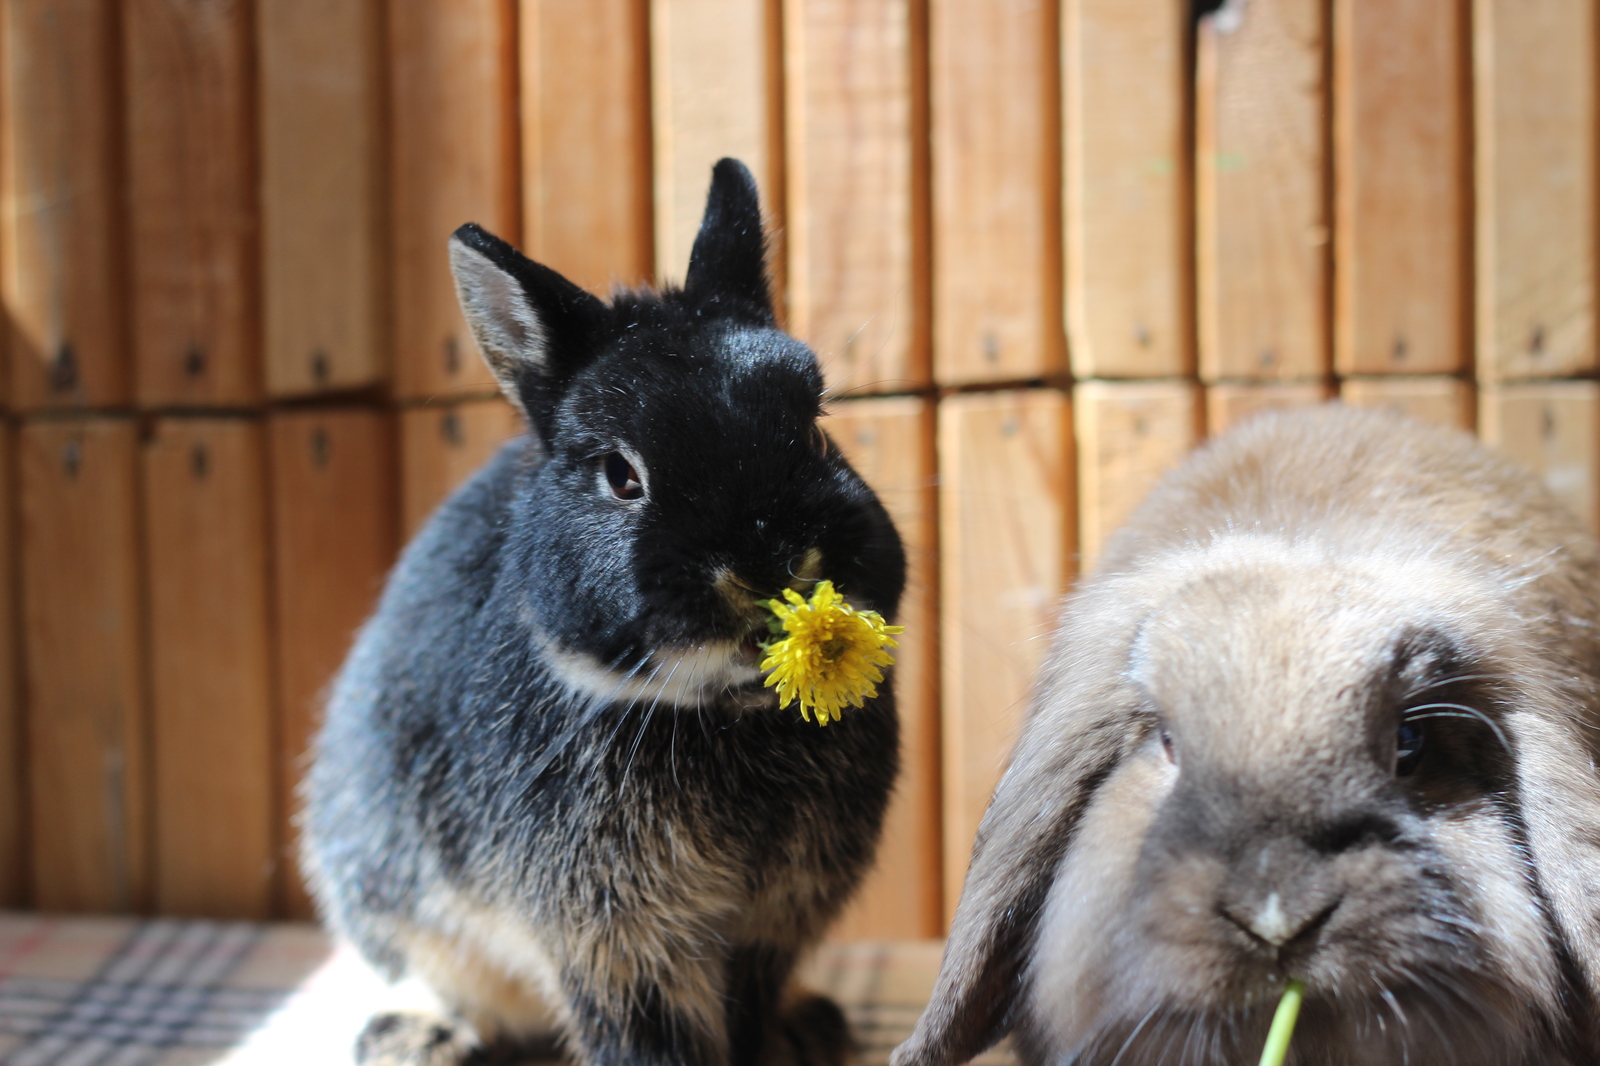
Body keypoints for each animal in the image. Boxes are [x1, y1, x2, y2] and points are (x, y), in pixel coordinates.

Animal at [300, 157, 902, 1062]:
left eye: (816, 432)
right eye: (623, 477)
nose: (766, 570)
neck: (725, 714)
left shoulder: (771, 924)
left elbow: (750, 1004)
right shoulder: (614, 937)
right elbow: (649, 1032)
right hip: (379, 873)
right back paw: (418, 1036)